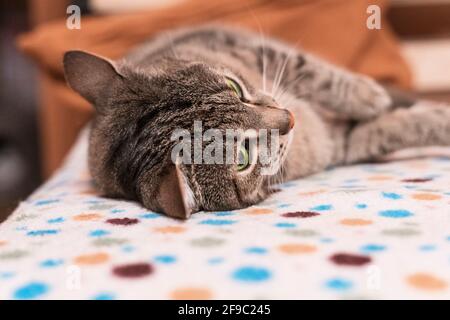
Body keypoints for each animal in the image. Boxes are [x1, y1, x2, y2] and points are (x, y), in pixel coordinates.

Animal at [63, 25, 450, 219]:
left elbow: (315, 71)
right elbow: (396, 129)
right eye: (242, 159)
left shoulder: (245, 43)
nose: (290, 118)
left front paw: (367, 95)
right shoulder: (339, 142)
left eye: (234, 87)